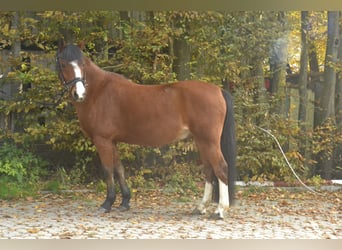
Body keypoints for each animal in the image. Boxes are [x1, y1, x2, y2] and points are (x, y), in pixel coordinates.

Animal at [56, 43, 236, 219]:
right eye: (63, 64)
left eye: (82, 64)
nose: (79, 94)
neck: (99, 91)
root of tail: (218, 90)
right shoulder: (112, 141)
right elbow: (119, 169)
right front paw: (125, 202)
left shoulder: (103, 140)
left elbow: (108, 170)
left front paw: (107, 204)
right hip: (201, 141)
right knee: (209, 171)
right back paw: (200, 207)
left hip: (209, 141)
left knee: (221, 168)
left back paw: (219, 211)